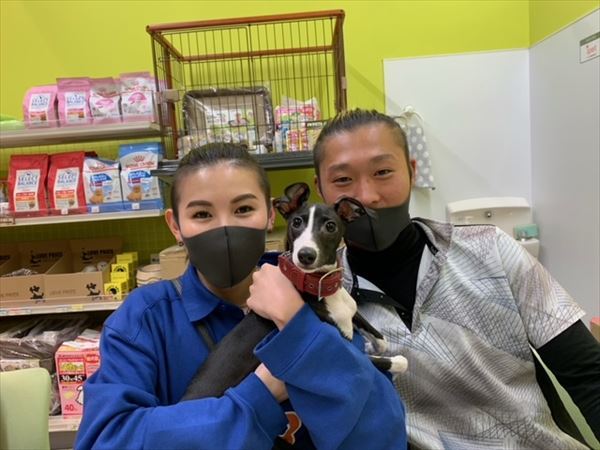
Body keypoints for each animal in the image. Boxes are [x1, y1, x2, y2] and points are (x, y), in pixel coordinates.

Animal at [182, 183, 407, 401]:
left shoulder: (349, 310)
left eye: (330, 226)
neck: (322, 287)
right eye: (296, 222)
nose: (305, 255)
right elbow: (378, 361)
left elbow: (375, 333)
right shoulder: (344, 347)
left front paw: (378, 344)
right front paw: (397, 360)